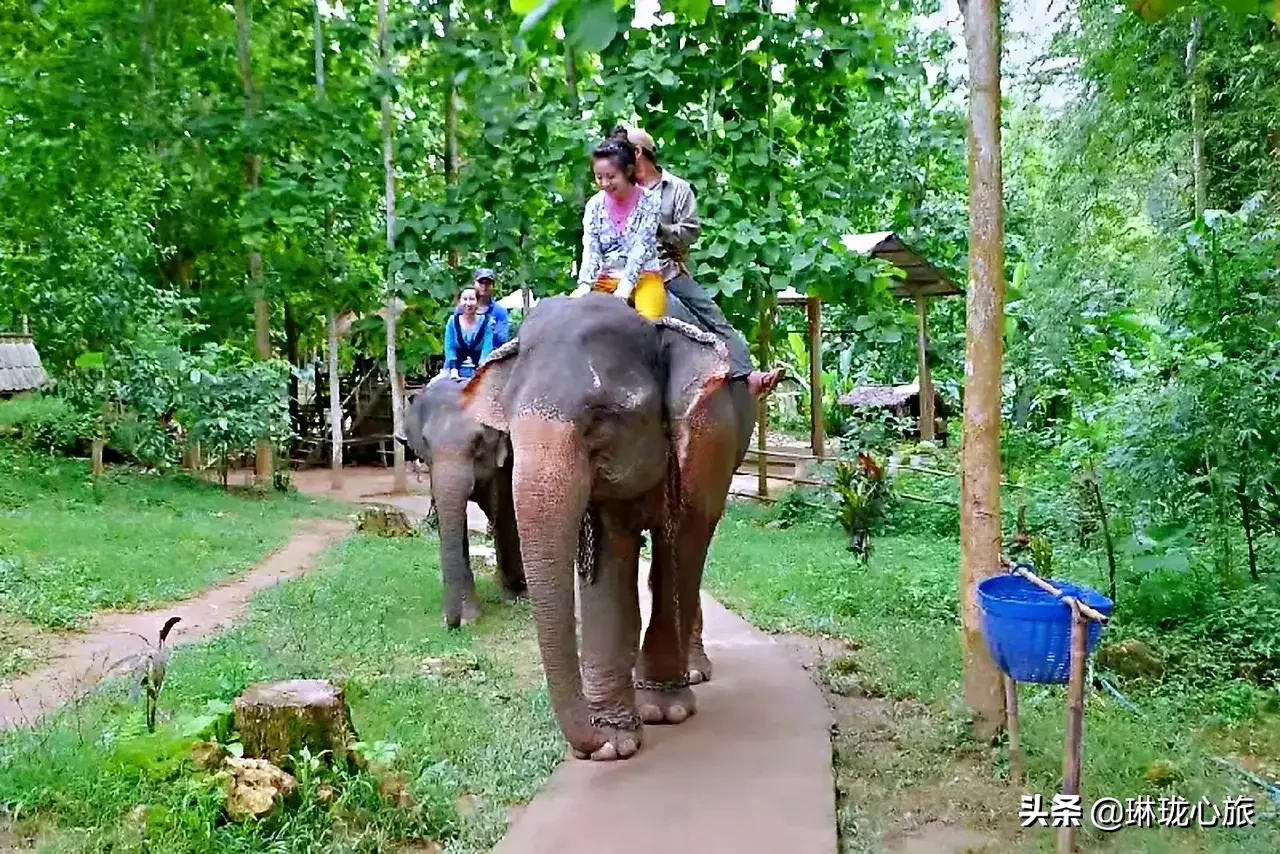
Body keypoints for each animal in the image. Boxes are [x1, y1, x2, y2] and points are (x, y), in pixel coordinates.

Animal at [396, 378, 522, 627]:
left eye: (478, 442)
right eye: (425, 441)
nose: (450, 623)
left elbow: (505, 509)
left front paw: (516, 595)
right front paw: (469, 619)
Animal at [463, 294, 752, 763]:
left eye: (601, 418)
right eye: (509, 422)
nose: (590, 742)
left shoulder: (705, 443)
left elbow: (680, 547)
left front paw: (663, 711)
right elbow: (609, 563)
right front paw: (614, 742)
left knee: (691, 553)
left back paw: (692, 672)